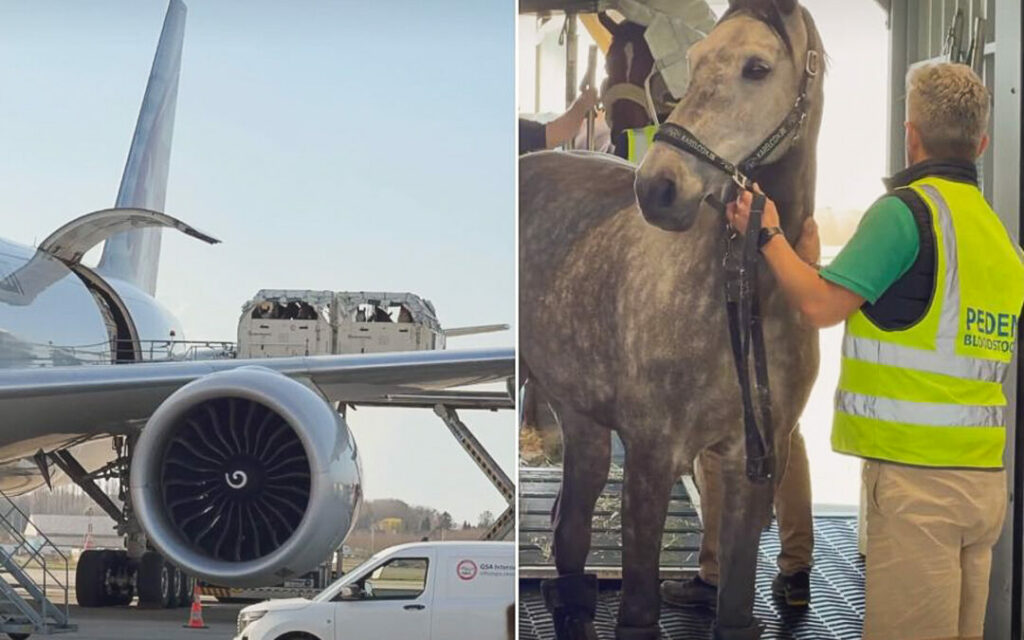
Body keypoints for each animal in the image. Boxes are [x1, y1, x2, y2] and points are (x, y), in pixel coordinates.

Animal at [519, 1, 824, 638]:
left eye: (757, 67)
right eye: (697, 59)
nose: (658, 187)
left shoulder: (753, 462)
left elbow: (734, 603)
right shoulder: (652, 453)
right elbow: (637, 607)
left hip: (583, 417)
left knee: (572, 528)